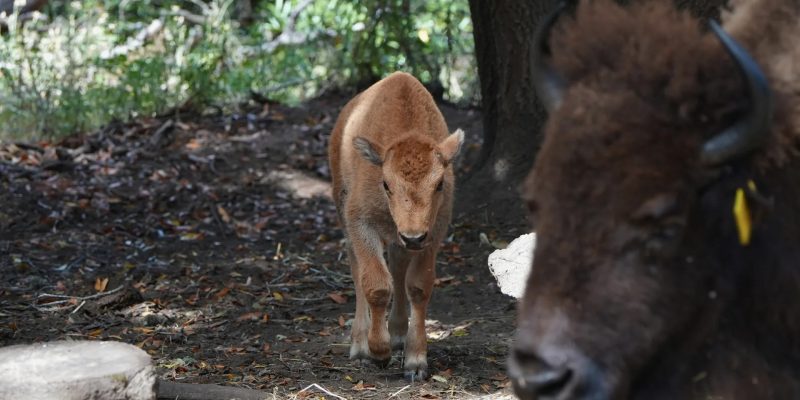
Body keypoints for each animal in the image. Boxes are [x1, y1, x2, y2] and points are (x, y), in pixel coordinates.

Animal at [328, 72, 464, 381]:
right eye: (386, 184)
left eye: (440, 183)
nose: (413, 236)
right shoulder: (361, 223)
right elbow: (377, 285)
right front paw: (378, 352)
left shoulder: (433, 233)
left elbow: (418, 286)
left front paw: (415, 361)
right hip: (343, 211)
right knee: (357, 271)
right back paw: (359, 345)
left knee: (399, 266)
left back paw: (398, 334)